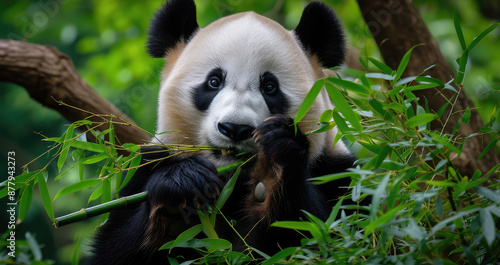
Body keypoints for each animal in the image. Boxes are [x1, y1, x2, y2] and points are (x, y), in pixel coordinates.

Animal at [91, 0, 356, 262]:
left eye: (270, 87)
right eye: (213, 82)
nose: (235, 128)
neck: (232, 179)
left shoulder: (337, 173)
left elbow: (324, 232)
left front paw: (277, 159)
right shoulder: (148, 166)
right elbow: (115, 246)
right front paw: (181, 189)